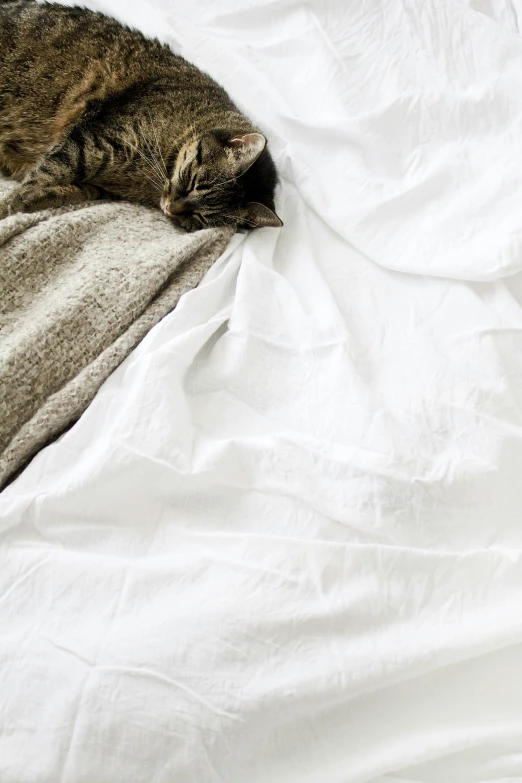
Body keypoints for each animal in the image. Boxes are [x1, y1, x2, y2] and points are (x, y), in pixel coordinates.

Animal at [0, 0, 280, 231]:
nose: (170, 208)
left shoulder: (97, 184)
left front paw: (30, 198)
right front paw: (11, 203)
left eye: (200, 216)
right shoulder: (93, 141)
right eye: (192, 182)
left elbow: (67, 188)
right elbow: (50, 170)